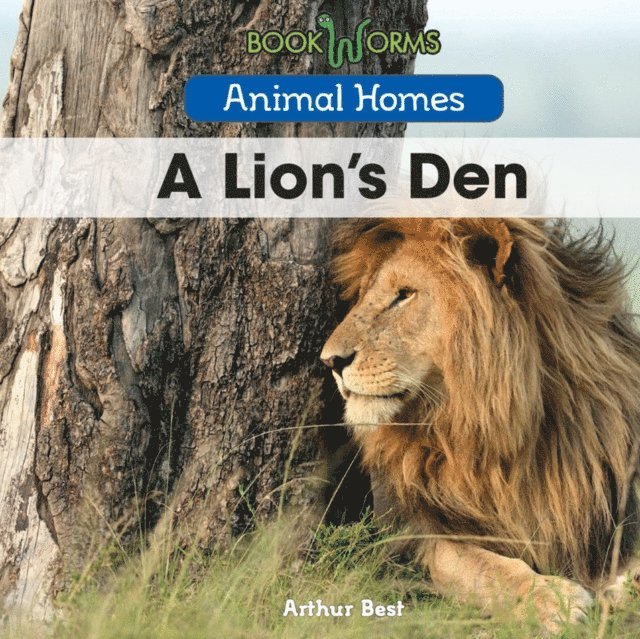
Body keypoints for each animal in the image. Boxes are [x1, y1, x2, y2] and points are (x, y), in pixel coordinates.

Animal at [320, 218, 640, 634]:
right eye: (364, 297)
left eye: (404, 295)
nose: (330, 361)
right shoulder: (413, 531)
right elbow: (486, 568)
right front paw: (553, 600)